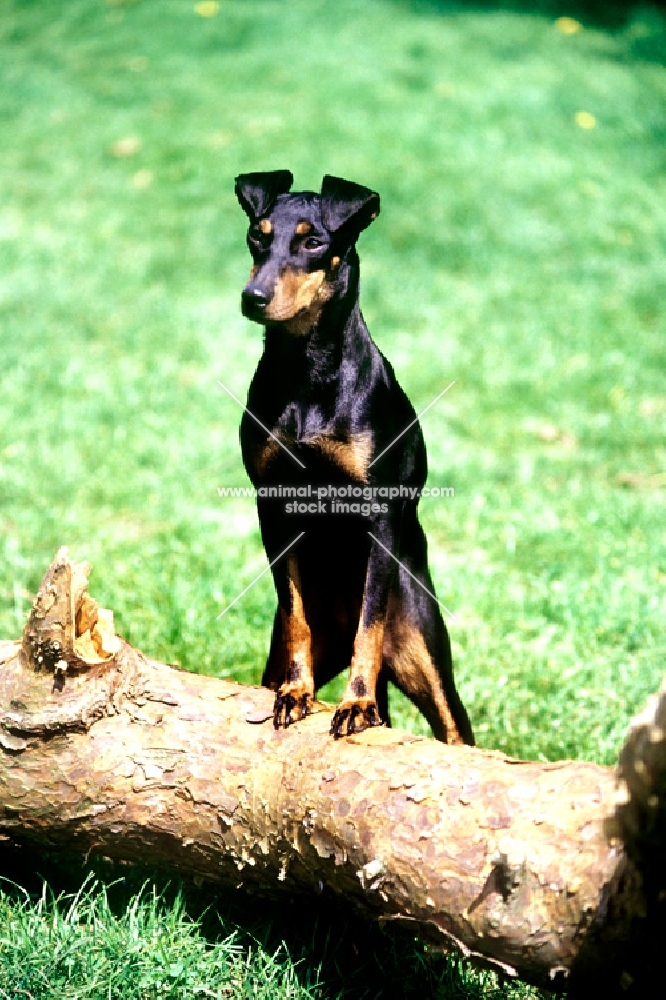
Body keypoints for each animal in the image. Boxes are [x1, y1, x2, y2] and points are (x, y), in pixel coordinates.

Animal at [233, 170, 472, 744]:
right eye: (257, 236)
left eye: (313, 243)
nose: (253, 298)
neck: (307, 373)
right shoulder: (274, 507)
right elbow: (295, 611)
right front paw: (297, 693)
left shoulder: (378, 512)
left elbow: (371, 622)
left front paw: (357, 704)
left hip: (424, 652)